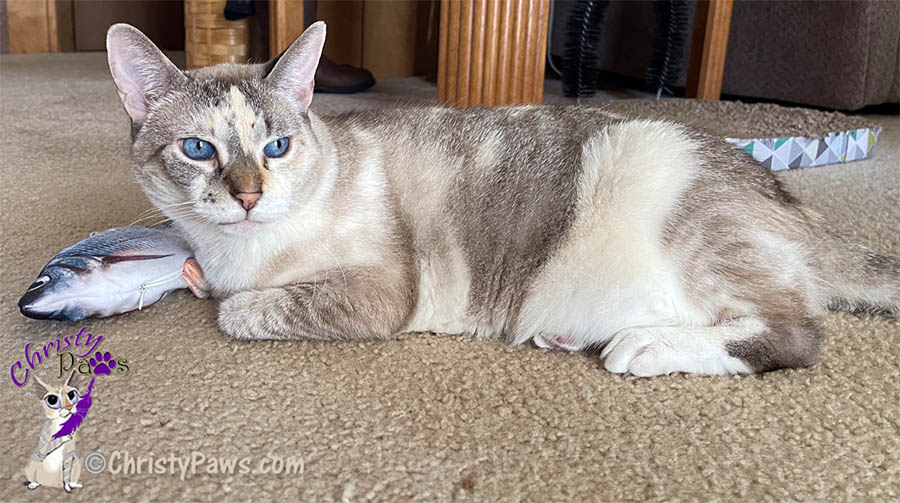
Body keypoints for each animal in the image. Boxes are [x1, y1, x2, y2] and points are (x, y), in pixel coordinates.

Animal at [102, 23, 896, 376]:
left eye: (275, 148)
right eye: (198, 150)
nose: (247, 197)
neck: (235, 250)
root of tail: (785, 193)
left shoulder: (377, 291)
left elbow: (237, 310)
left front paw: (224, 294)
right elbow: (210, 283)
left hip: (659, 174)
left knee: (794, 336)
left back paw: (642, 346)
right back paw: (576, 335)